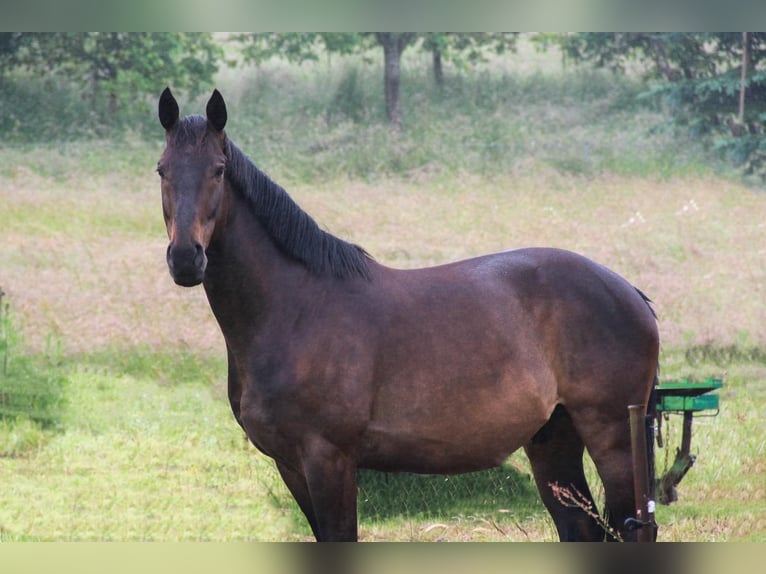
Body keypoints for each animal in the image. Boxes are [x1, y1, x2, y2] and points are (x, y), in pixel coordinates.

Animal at [156, 88, 660, 544]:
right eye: (162, 170)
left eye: (219, 170)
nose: (186, 259)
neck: (294, 310)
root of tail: (630, 293)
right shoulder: (290, 465)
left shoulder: (329, 459)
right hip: (553, 440)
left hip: (612, 439)